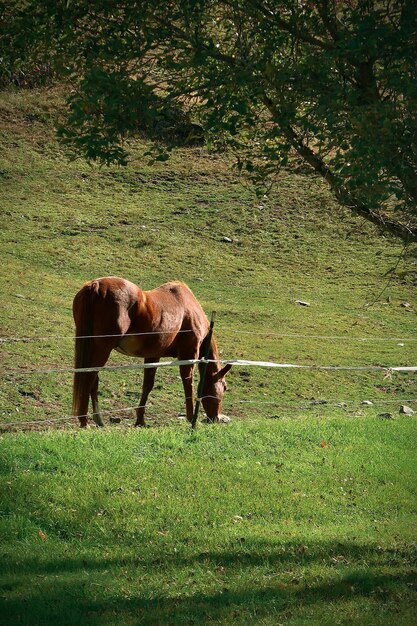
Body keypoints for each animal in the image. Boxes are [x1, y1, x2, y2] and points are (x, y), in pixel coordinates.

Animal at [71, 276, 231, 426]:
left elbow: (147, 385)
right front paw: (191, 418)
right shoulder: (188, 355)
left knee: (92, 379)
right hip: (102, 349)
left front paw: (140, 420)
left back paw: (98, 419)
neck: (190, 308)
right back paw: (84, 421)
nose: (216, 418)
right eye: (224, 387)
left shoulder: (153, 356)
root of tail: (96, 285)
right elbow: (188, 384)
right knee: (89, 377)